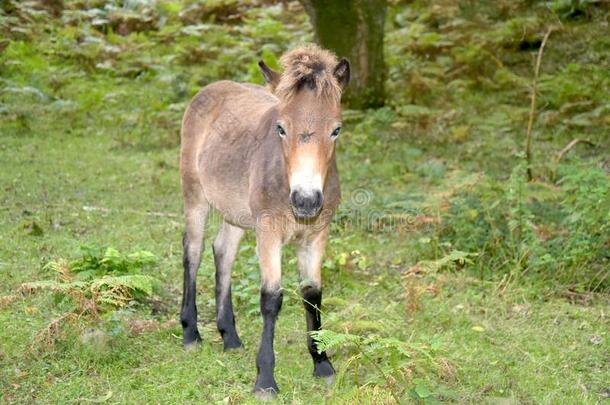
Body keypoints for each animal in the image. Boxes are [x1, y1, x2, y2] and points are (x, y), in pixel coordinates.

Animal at [178, 45, 350, 398]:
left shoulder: (317, 235)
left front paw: (322, 364)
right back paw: (191, 333)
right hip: (195, 195)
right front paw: (265, 379)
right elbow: (271, 298)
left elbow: (312, 294)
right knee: (194, 249)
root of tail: (211, 89)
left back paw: (230, 337)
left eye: (336, 129)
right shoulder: (268, 232)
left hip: (236, 213)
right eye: (280, 128)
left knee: (223, 250)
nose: (306, 200)